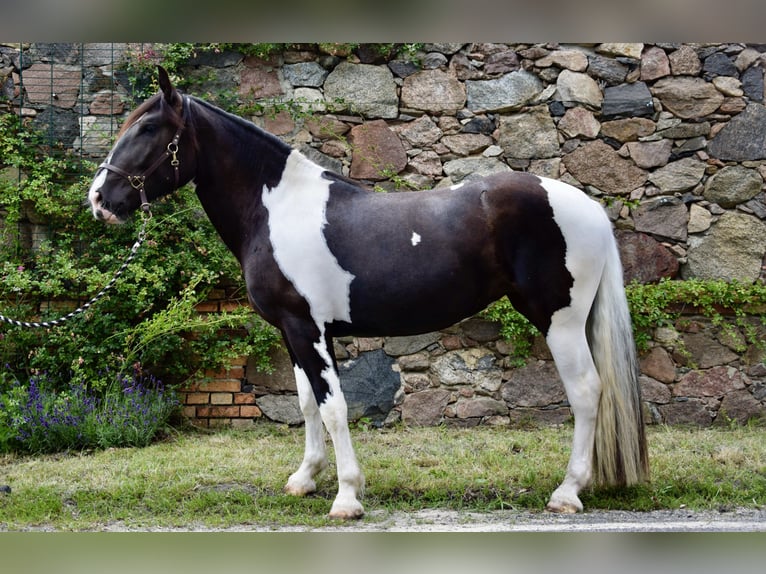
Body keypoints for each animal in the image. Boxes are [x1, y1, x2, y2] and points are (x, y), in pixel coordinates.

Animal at [90, 68, 648, 520]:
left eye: (148, 129)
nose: (98, 200)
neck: (277, 209)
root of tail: (588, 207)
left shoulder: (307, 328)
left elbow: (334, 407)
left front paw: (347, 497)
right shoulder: (299, 332)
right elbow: (307, 403)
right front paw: (305, 479)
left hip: (561, 321)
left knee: (586, 392)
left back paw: (567, 492)